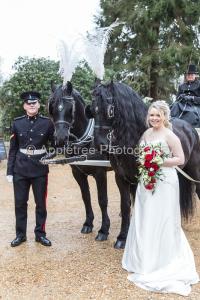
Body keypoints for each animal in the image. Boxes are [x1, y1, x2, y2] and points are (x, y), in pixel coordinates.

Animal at [48, 81, 111, 241]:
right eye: (52, 107)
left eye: (71, 109)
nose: (61, 138)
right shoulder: (77, 173)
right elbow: (86, 197)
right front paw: (88, 223)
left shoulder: (101, 173)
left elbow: (102, 200)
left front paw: (104, 230)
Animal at [87, 79, 200, 248]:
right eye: (92, 110)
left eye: (110, 110)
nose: (100, 144)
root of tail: (190, 128)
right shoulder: (121, 178)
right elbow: (126, 206)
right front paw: (122, 237)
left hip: (194, 171)